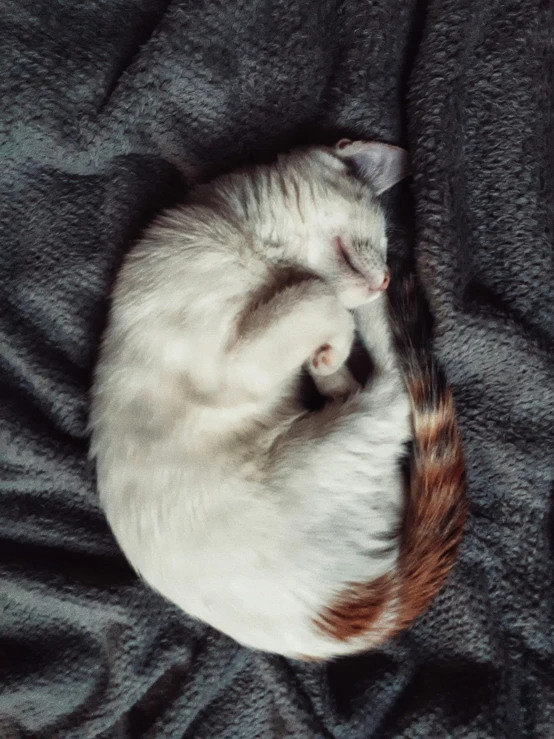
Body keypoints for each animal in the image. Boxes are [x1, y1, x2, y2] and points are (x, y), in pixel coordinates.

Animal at [88, 139, 464, 660]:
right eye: (382, 237)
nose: (387, 277)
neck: (256, 247)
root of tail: (368, 612)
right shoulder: (230, 362)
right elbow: (318, 293)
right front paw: (334, 348)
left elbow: (316, 304)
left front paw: (329, 367)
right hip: (324, 443)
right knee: (395, 389)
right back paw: (373, 323)